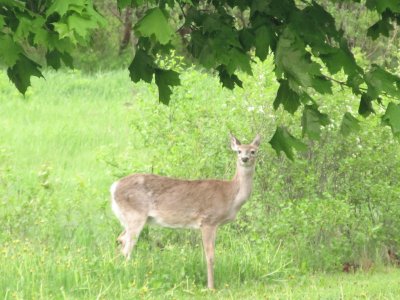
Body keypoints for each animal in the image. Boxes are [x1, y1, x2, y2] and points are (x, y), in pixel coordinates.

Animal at [109, 134, 260, 288]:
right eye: (238, 151)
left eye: (253, 151)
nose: (245, 159)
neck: (230, 195)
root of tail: (114, 187)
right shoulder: (208, 220)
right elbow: (210, 256)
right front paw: (211, 287)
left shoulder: (214, 224)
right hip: (135, 215)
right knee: (127, 247)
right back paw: (129, 275)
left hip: (130, 218)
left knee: (120, 239)